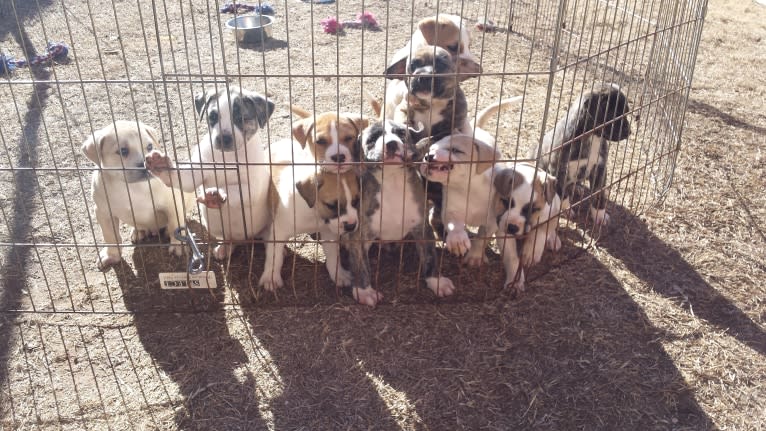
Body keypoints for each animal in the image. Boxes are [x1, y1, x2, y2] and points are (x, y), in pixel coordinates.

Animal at [81, 120, 192, 270]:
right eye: (123, 151)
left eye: (149, 146)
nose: (145, 165)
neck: (132, 187)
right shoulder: (103, 212)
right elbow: (110, 236)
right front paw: (111, 255)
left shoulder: (172, 203)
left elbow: (176, 224)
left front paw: (178, 246)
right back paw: (139, 231)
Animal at [145, 85, 276, 260]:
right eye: (212, 116)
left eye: (241, 118)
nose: (223, 138)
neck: (226, 158)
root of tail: (247, 239)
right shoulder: (195, 172)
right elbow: (182, 178)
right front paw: (161, 165)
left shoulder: (252, 188)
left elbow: (233, 189)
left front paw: (217, 195)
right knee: (230, 239)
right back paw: (224, 248)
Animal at [344, 118, 460, 300]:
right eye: (372, 139)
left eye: (401, 134)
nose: (391, 144)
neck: (393, 182)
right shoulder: (359, 236)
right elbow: (360, 265)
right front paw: (364, 291)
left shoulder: (422, 229)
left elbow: (430, 257)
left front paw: (436, 281)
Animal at [492, 163, 564, 294]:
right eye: (505, 202)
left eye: (533, 209)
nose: (512, 227)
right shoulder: (502, 230)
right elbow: (511, 256)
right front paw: (514, 282)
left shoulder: (552, 212)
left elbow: (541, 230)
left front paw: (531, 252)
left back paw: (553, 240)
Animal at [532, 82, 632, 228]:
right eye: (613, 114)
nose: (629, 132)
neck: (591, 137)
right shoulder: (558, 170)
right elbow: (562, 194)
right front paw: (566, 210)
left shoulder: (600, 169)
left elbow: (598, 194)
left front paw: (599, 215)